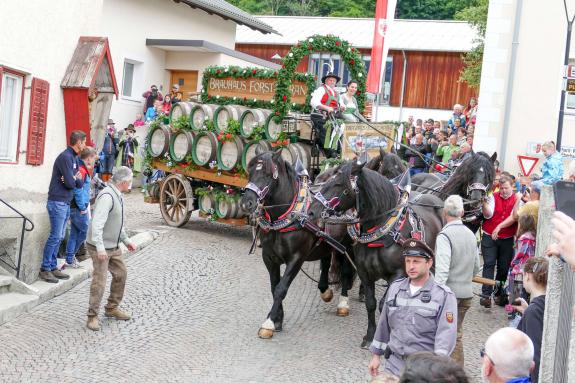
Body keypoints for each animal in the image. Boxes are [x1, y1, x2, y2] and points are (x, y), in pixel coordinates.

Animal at [238, 153, 356, 340]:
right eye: (250, 172)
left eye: (268, 175)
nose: (246, 203)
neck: (285, 216)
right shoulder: (269, 258)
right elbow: (274, 287)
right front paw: (277, 320)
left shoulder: (296, 259)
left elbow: (281, 288)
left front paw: (269, 323)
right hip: (326, 241)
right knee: (325, 261)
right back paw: (325, 290)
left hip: (347, 245)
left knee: (345, 270)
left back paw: (343, 303)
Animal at [310, 160, 446, 350]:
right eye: (326, 180)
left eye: (338, 184)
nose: (312, 211)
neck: (382, 232)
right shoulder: (365, 273)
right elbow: (371, 304)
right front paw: (369, 336)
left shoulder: (398, 274)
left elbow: (384, 304)